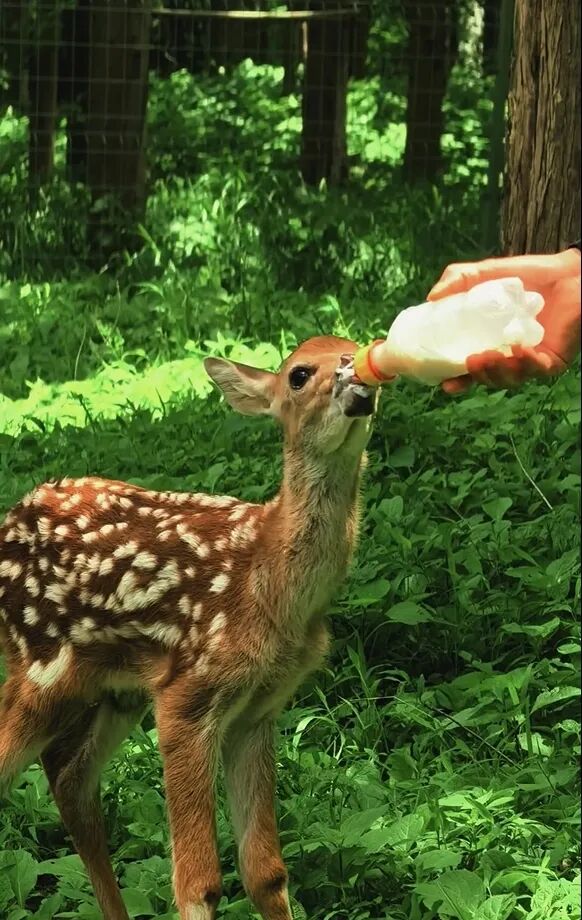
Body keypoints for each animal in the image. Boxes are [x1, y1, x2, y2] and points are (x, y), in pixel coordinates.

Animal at [0, 335, 378, 920]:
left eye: (357, 347)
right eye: (298, 374)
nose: (358, 383)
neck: (270, 584)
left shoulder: (258, 709)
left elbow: (265, 872)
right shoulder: (188, 696)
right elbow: (199, 882)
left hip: (117, 689)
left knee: (68, 774)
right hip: (41, 668)